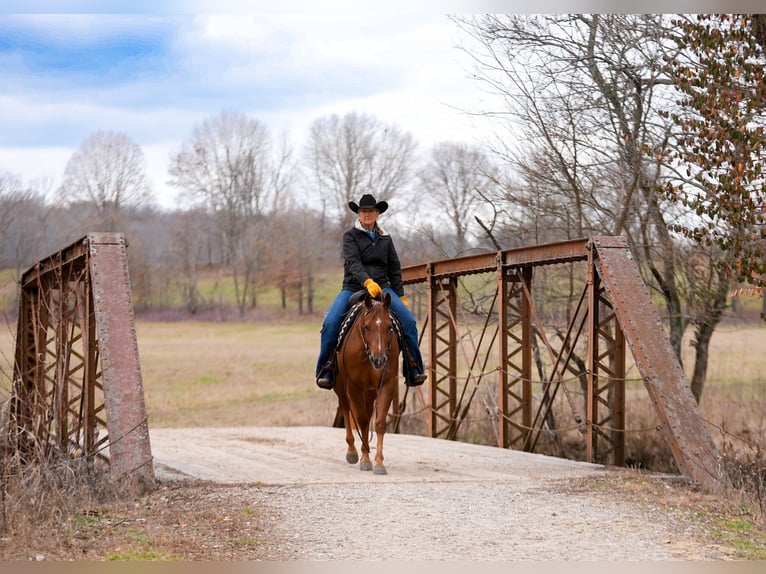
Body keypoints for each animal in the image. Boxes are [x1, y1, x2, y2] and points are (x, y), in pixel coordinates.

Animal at [336, 294, 402, 474]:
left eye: (390, 327)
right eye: (366, 327)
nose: (379, 359)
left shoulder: (387, 384)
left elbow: (378, 423)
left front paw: (379, 463)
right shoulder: (354, 386)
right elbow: (363, 420)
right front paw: (365, 459)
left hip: (370, 392)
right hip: (341, 386)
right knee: (346, 408)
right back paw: (352, 451)